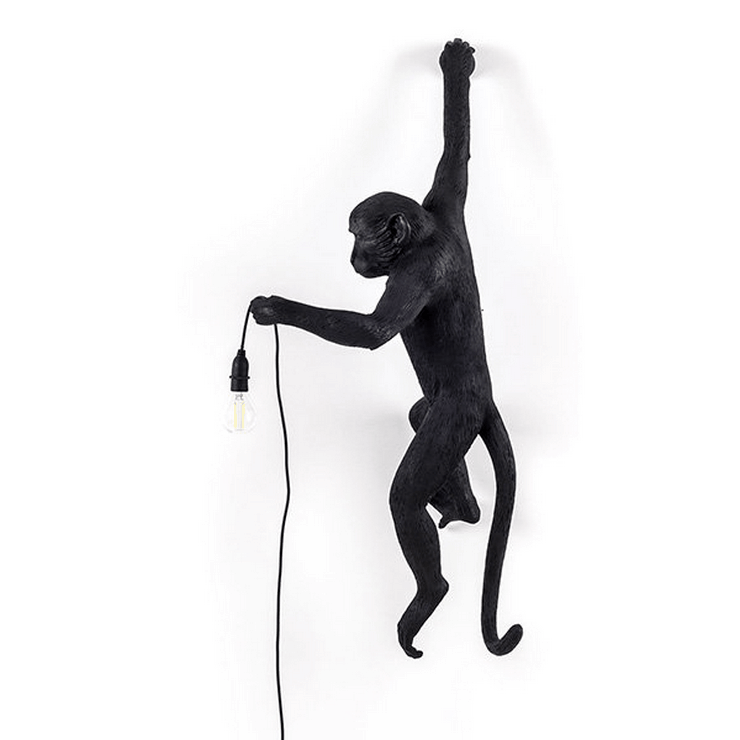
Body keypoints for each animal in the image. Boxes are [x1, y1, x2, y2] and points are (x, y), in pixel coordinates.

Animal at [251, 39, 522, 659]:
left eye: (358, 235)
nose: (352, 256)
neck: (429, 233)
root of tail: (486, 399)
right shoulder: (445, 200)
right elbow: (456, 152)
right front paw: (457, 65)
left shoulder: (415, 271)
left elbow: (372, 331)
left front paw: (275, 307)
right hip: (444, 413)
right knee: (418, 414)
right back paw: (464, 508)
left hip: (457, 414)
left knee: (406, 493)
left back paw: (428, 595)